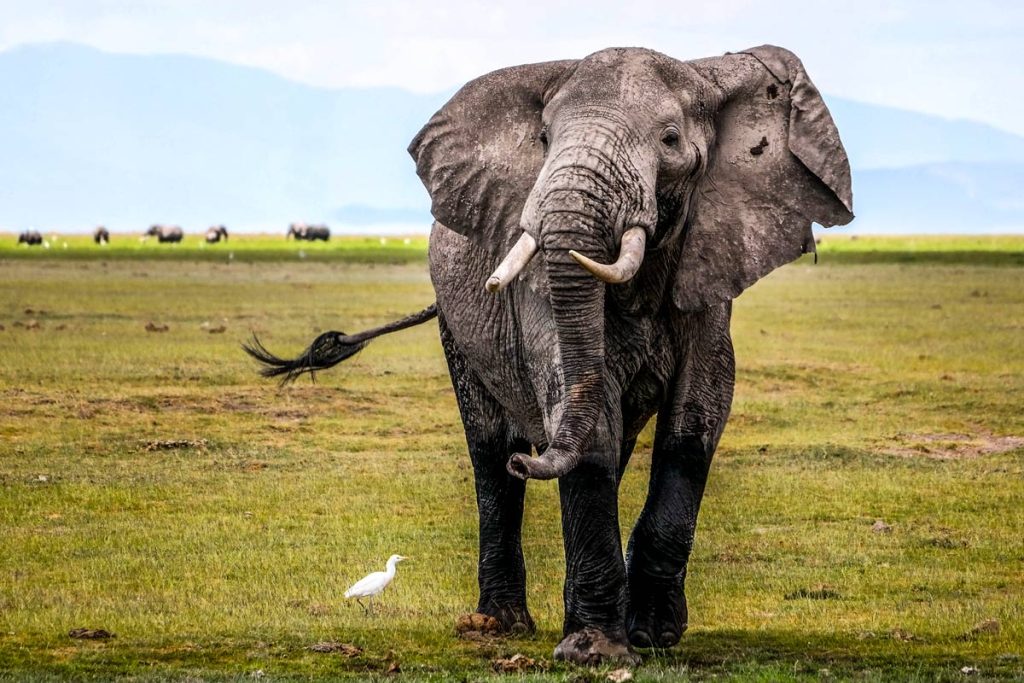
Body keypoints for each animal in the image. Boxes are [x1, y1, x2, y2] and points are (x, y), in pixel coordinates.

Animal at [246, 45, 852, 665]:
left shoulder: (712, 267)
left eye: (670, 140)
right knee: (491, 455)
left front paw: (650, 637)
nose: (529, 455)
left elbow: (696, 418)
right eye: (543, 137)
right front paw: (596, 653)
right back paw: (499, 622)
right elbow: (581, 412)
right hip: (458, 329)